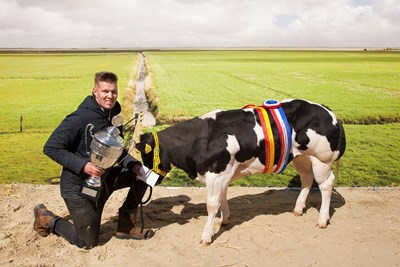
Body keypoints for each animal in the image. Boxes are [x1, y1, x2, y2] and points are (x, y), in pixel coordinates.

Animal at [136, 99, 346, 247]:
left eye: (145, 154)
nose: (147, 180)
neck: (203, 138)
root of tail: (327, 110)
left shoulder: (216, 172)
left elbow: (212, 205)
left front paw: (206, 236)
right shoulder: (223, 174)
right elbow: (222, 197)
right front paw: (224, 220)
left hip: (321, 160)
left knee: (326, 185)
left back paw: (322, 220)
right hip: (301, 157)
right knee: (307, 179)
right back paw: (298, 209)